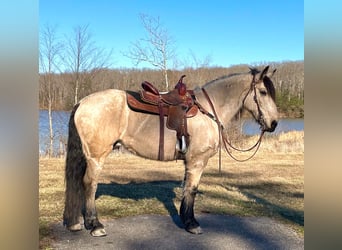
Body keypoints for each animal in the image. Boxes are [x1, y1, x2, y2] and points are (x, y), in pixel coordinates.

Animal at [63, 64, 278, 236]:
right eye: (263, 92)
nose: (274, 123)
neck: (208, 109)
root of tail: (82, 102)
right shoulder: (197, 161)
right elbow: (192, 189)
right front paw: (192, 224)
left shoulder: (189, 161)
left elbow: (186, 189)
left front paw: (185, 219)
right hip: (96, 156)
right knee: (90, 184)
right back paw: (95, 225)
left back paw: (77, 223)